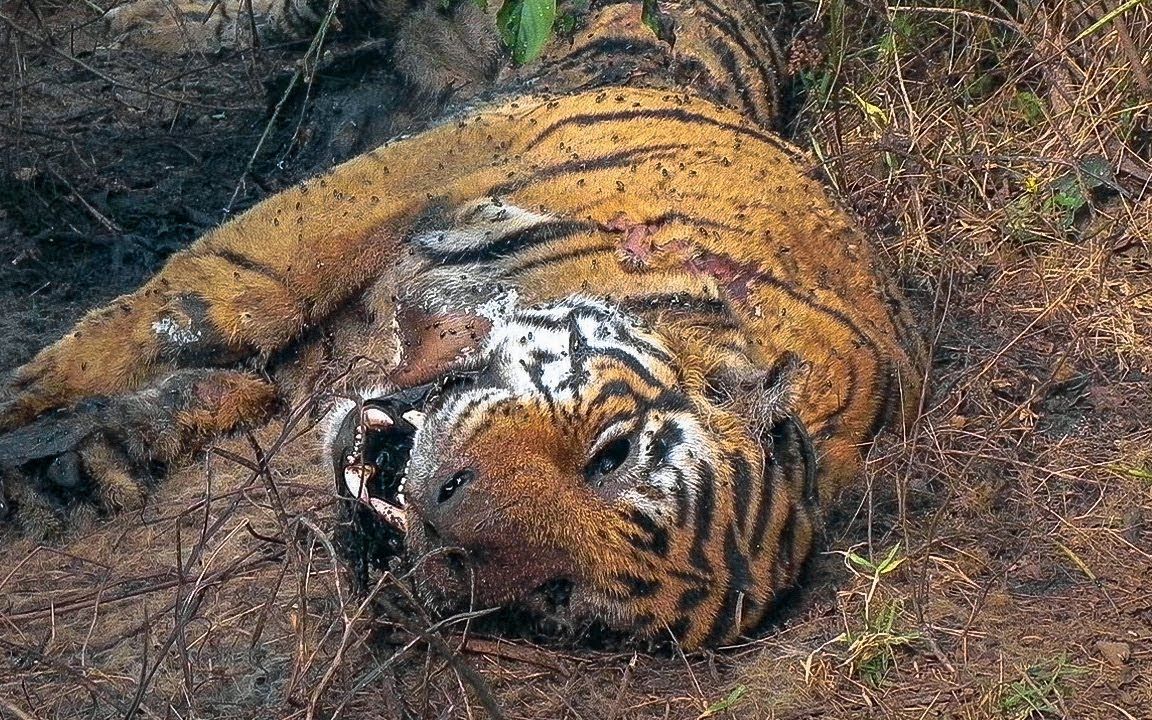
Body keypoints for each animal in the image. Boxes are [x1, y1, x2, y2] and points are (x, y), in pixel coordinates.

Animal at [0, 0, 921, 649]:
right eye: (613, 456)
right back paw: (144, 27)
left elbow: (229, 391)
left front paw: (75, 470)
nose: (439, 527)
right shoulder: (407, 177)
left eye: (560, 598)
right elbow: (214, 294)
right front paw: (29, 393)